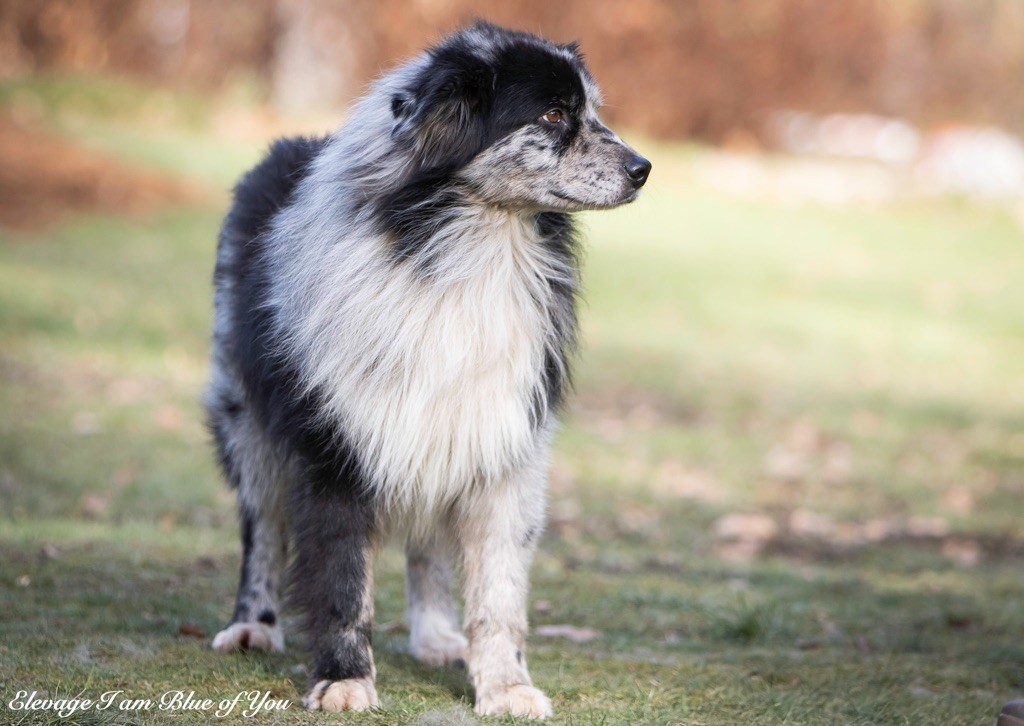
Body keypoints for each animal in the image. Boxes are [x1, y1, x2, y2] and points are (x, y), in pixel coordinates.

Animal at [204, 19, 651, 716]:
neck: (472, 251)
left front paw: (505, 685)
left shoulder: (503, 444)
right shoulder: (334, 446)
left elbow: (499, 593)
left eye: (594, 110)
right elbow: (343, 582)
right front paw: (343, 679)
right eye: (554, 114)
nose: (643, 169)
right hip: (247, 420)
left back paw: (437, 637)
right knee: (262, 530)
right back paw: (253, 624)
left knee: (429, 548)